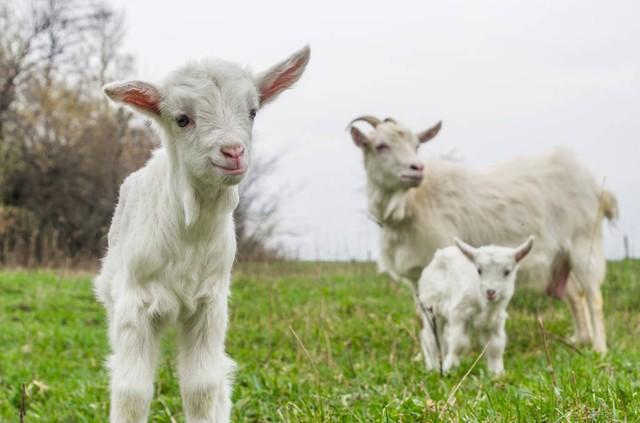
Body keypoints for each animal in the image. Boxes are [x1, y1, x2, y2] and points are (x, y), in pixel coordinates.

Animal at [95, 46, 312, 423]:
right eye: (182, 119)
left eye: (252, 111)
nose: (233, 152)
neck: (189, 234)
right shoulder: (134, 303)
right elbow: (131, 391)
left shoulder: (210, 304)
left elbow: (202, 386)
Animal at [348, 116, 616, 354]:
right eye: (380, 145)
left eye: (417, 145)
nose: (417, 169)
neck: (412, 204)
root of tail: (597, 187)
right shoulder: (417, 277)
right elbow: (424, 316)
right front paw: (426, 354)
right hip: (558, 258)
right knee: (576, 295)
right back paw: (580, 339)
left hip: (585, 243)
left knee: (594, 297)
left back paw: (599, 348)